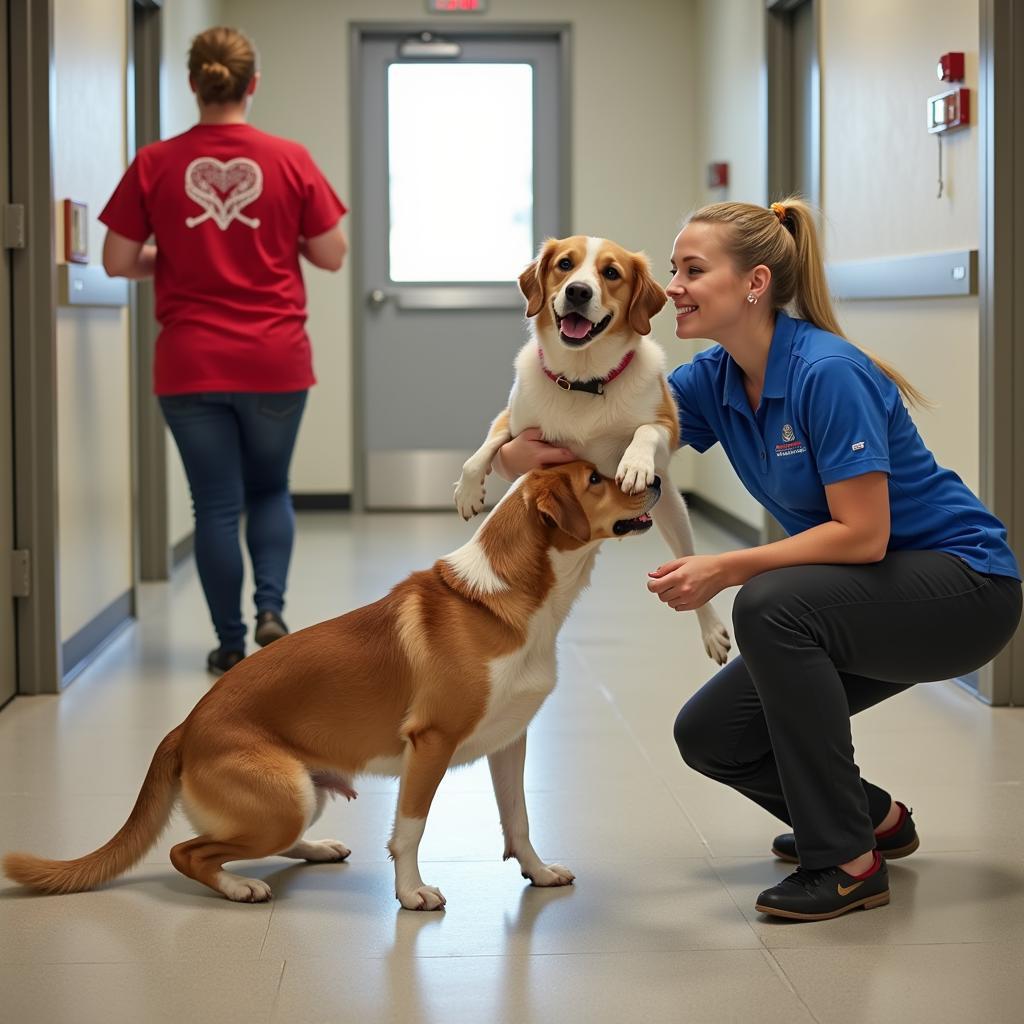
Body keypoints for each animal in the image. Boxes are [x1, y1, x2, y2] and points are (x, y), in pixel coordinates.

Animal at [4, 464, 659, 913]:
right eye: (595, 477)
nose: (653, 480)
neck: (507, 600)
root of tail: (183, 728)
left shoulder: (510, 742)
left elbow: (519, 819)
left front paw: (538, 873)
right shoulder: (431, 744)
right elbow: (409, 829)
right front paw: (411, 893)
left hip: (303, 794)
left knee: (250, 842)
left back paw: (316, 850)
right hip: (285, 795)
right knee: (189, 852)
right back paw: (240, 886)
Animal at [452, 233, 733, 663]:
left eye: (611, 273)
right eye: (565, 265)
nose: (578, 291)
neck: (584, 379)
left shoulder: (668, 428)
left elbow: (647, 431)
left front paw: (634, 463)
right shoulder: (514, 423)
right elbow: (486, 447)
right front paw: (468, 492)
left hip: (674, 512)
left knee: (689, 564)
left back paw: (711, 628)